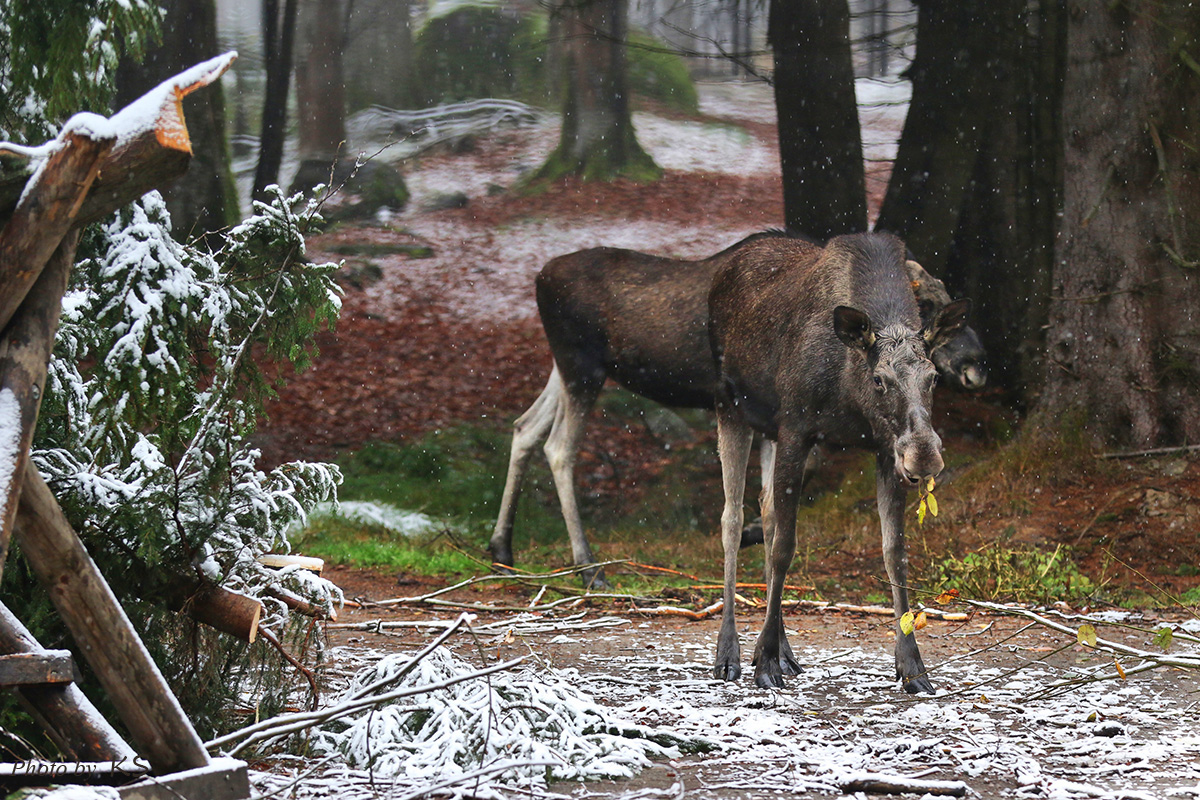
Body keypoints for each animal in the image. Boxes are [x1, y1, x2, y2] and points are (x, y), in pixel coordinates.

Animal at [489, 227, 984, 592]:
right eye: (927, 303)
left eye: (944, 296)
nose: (977, 365)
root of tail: (538, 276)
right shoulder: (786, 417)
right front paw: (746, 540)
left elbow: (769, 497)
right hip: (582, 369)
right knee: (558, 448)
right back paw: (588, 566)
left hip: (566, 368)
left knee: (524, 427)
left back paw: (501, 549)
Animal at [705, 231, 969, 695]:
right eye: (880, 379)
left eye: (934, 377)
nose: (923, 453)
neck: (850, 393)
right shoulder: (797, 430)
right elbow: (785, 549)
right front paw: (765, 663)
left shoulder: (883, 449)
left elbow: (894, 552)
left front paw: (913, 666)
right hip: (729, 406)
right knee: (733, 520)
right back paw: (731, 653)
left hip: (768, 428)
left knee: (766, 510)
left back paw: (782, 649)